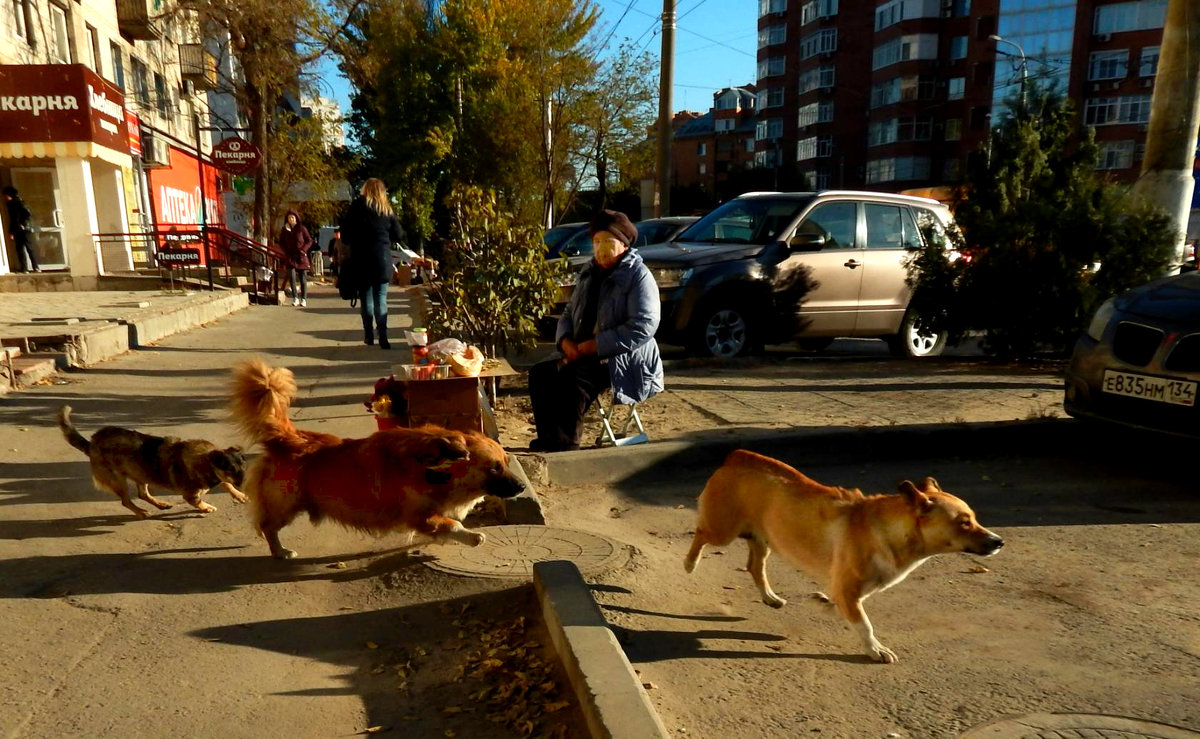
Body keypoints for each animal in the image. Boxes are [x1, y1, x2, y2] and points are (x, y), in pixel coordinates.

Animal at [57, 403, 246, 520]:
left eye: (243, 467)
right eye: (231, 469)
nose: (246, 483)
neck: (205, 460)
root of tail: (92, 443)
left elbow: (226, 484)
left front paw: (239, 495)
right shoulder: (190, 495)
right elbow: (199, 501)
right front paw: (207, 507)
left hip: (141, 473)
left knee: (143, 494)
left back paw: (160, 504)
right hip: (118, 480)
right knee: (126, 501)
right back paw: (141, 513)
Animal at [229, 359, 525, 559]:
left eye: (506, 463)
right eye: (494, 468)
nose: (522, 487)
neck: (434, 466)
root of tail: (290, 437)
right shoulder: (420, 516)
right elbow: (453, 525)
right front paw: (472, 536)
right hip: (285, 505)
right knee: (267, 526)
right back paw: (280, 552)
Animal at [686, 451, 1003, 662]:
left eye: (974, 519)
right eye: (963, 523)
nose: (999, 542)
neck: (889, 531)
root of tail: (736, 457)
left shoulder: (850, 591)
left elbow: (840, 606)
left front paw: (823, 603)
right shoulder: (850, 591)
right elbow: (864, 624)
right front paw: (875, 649)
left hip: (763, 539)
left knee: (754, 566)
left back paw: (770, 597)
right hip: (722, 531)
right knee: (701, 534)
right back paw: (690, 563)